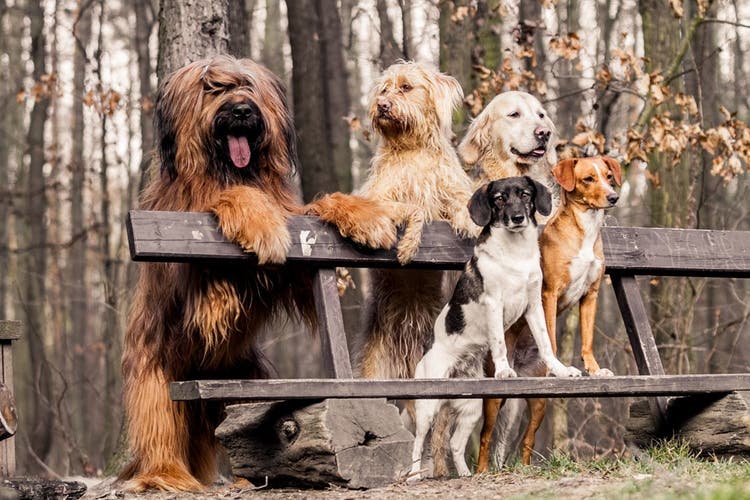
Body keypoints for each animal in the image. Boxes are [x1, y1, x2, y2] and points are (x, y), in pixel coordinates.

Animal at [121, 55, 408, 492]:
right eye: (213, 88)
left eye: (249, 87)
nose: (242, 110)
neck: (232, 172)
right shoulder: (194, 278)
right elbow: (232, 203)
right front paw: (259, 221)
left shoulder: (295, 263)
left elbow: (311, 215)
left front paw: (364, 215)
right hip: (155, 374)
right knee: (158, 425)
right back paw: (165, 474)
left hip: (247, 382)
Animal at [356, 60, 476, 380]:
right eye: (383, 90)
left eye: (406, 87)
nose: (382, 105)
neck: (413, 147)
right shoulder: (378, 197)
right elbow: (417, 210)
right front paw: (409, 246)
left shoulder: (450, 190)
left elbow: (463, 204)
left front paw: (472, 224)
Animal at [412, 177, 580, 480]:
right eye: (499, 199)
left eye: (525, 195)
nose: (517, 218)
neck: (515, 254)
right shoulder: (494, 303)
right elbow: (500, 344)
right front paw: (504, 370)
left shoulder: (534, 306)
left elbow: (546, 344)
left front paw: (561, 370)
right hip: (427, 407)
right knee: (418, 443)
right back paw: (413, 476)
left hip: (471, 409)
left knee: (455, 443)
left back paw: (466, 475)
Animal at [482, 155, 624, 468]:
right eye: (588, 179)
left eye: (609, 176)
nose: (614, 197)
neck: (585, 232)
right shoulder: (549, 293)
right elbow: (550, 336)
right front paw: (558, 368)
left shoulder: (591, 295)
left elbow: (587, 341)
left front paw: (594, 370)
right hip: (494, 400)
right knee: (485, 439)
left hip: (538, 405)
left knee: (527, 440)